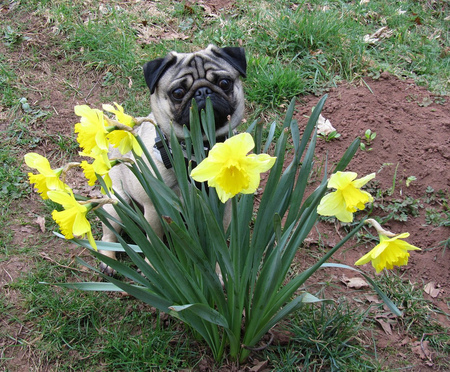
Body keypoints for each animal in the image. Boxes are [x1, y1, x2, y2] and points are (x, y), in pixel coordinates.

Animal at [99, 45, 246, 274]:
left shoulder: (224, 208)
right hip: (116, 203)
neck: (197, 149)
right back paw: (108, 259)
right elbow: (156, 240)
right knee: (109, 232)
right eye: (177, 93)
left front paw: (219, 271)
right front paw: (157, 266)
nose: (203, 92)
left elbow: (219, 241)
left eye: (224, 83)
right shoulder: (153, 208)